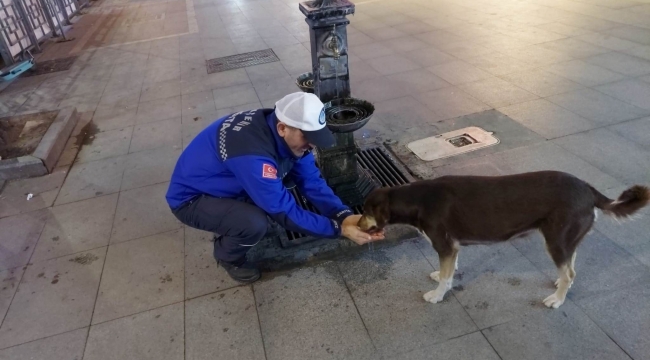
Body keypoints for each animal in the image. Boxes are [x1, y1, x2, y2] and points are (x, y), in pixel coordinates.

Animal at [356, 170, 644, 308]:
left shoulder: (445, 245)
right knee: (570, 266)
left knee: (570, 272)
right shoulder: (452, 248)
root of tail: (588, 188)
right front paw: (441, 277)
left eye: (366, 211)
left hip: (555, 240)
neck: (418, 200)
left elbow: (447, 277)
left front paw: (438, 294)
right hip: (565, 239)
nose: (356, 224)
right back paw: (560, 285)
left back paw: (557, 299)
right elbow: (449, 269)